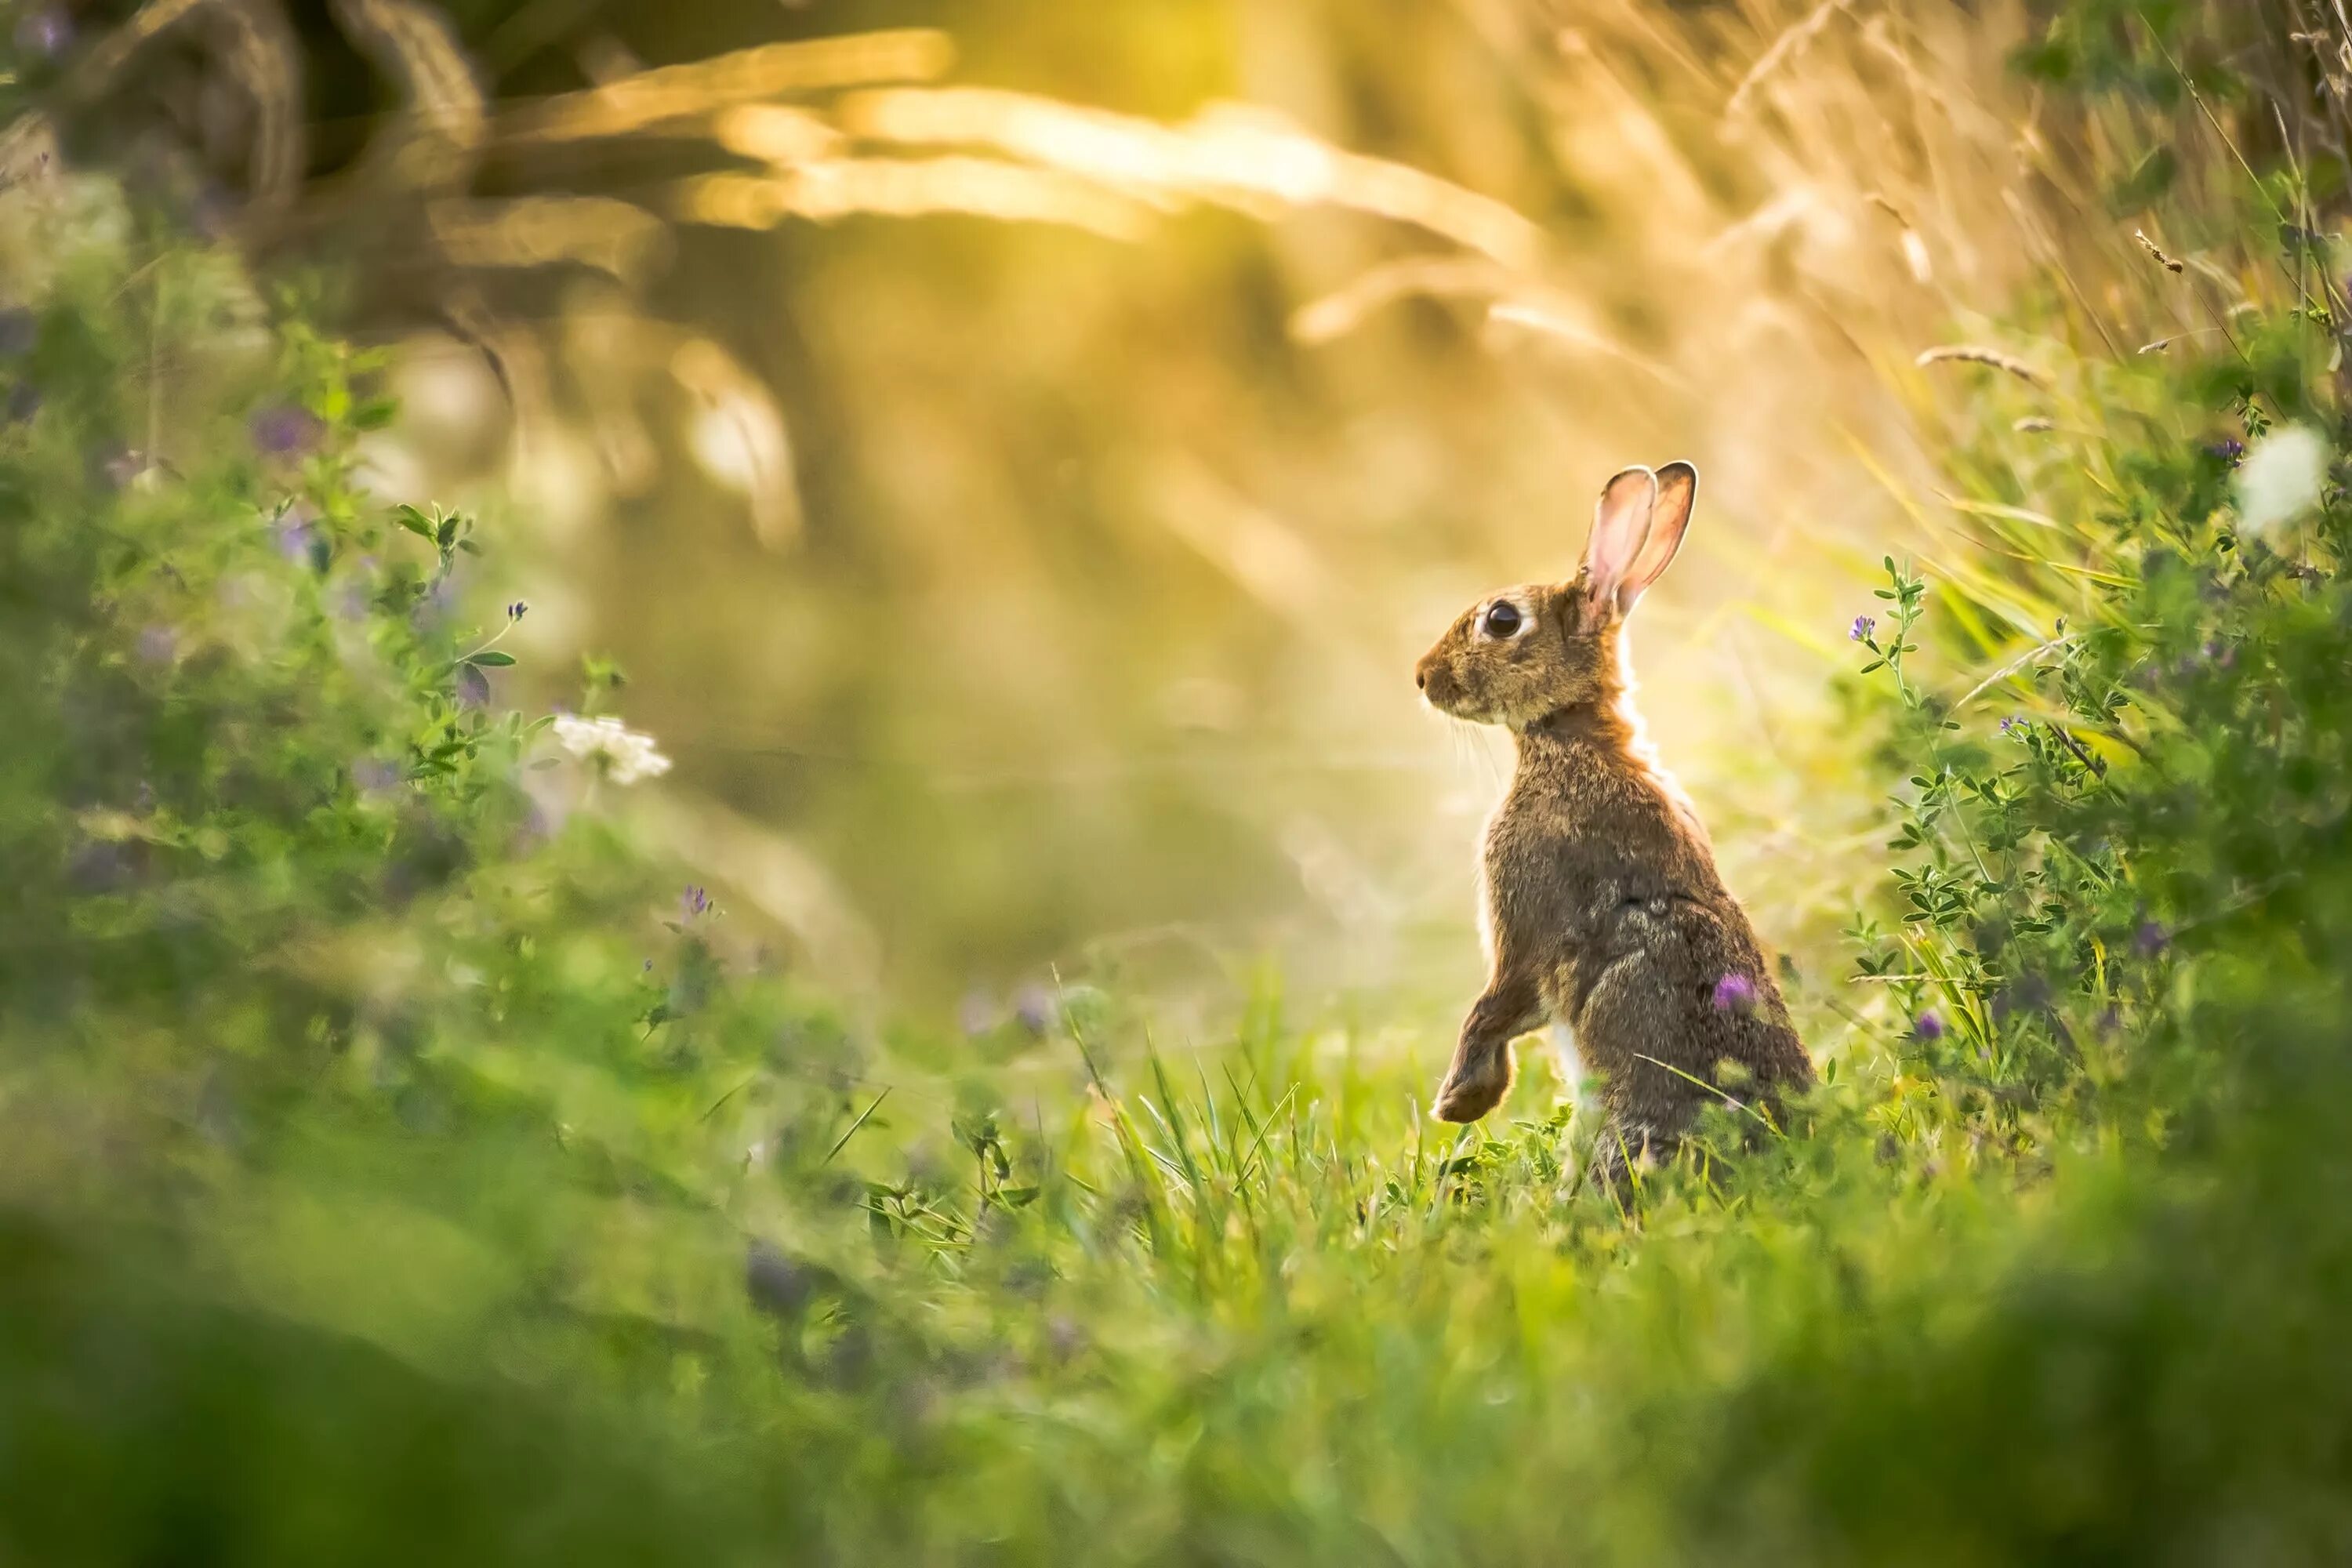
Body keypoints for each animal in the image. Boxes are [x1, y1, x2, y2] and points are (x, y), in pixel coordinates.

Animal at [1411, 460, 1816, 1185]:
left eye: (1502, 620)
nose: (1423, 677)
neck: (1573, 738)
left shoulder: (1525, 920)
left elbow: (1496, 1005)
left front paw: (1461, 1101)